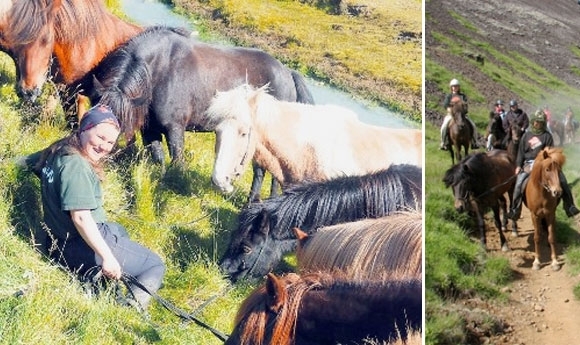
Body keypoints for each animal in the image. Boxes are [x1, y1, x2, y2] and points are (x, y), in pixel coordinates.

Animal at [77, 26, 314, 202]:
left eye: (118, 124)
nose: (95, 156)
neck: (159, 70)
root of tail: (288, 73)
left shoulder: (175, 128)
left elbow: (177, 159)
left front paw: (177, 186)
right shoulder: (150, 130)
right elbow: (158, 157)